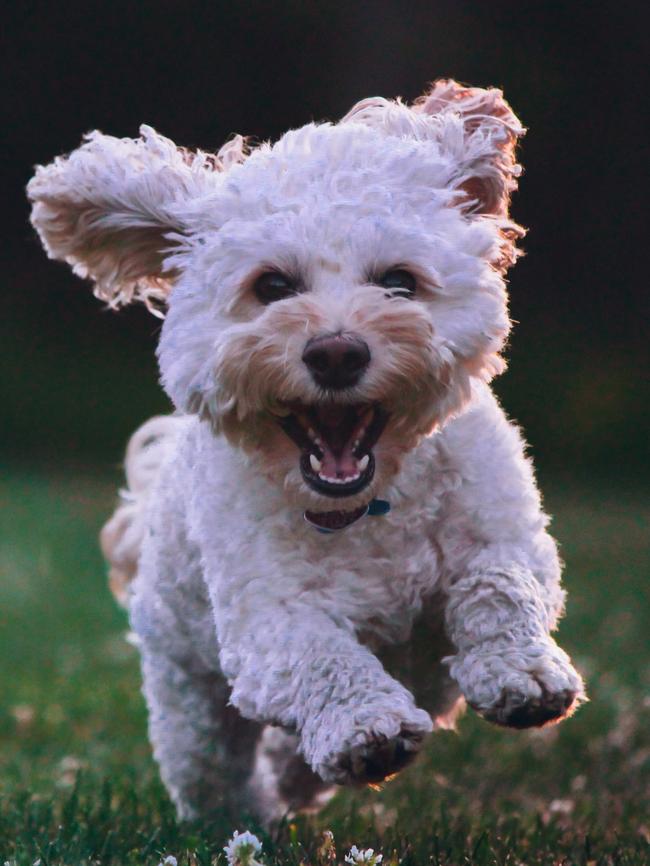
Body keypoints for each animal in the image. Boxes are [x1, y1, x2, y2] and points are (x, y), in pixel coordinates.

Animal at [30, 77, 584, 820]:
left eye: (400, 281)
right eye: (271, 286)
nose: (337, 352)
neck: (370, 506)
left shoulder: (505, 532)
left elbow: (500, 584)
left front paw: (523, 673)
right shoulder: (267, 618)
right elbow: (321, 656)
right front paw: (364, 726)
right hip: (186, 692)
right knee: (211, 767)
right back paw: (249, 813)